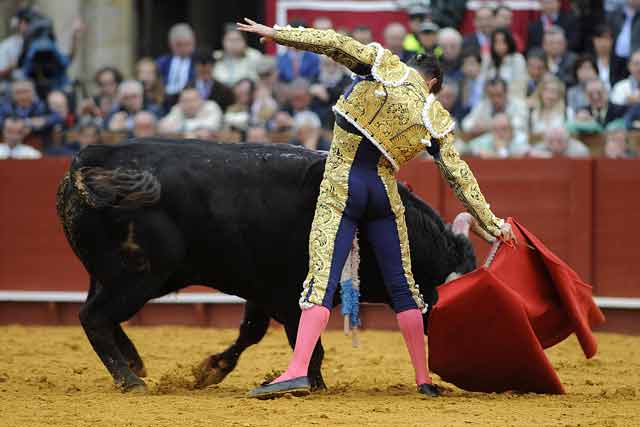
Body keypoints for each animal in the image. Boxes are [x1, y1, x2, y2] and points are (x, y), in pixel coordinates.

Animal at [56, 140, 476, 392]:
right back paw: (130, 380)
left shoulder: (263, 291)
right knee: (94, 317)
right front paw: (312, 384)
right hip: (140, 275)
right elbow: (307, 343)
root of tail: (90, 158)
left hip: (111, 273)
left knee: (98, 313)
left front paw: (212, 369)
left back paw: (135, 362)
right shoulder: (292, 295)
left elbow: (251, 332)